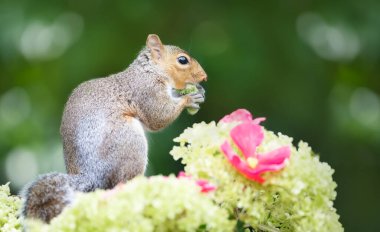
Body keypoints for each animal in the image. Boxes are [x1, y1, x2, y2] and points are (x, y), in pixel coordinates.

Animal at [21, 34, 208, 223]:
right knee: (122, 182)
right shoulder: (146, 91)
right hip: (129, 140)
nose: (204, 77)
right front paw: (189, 98)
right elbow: (159, 116)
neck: (150, 71)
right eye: (182, 60)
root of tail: (92, 175)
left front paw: (199, 92)